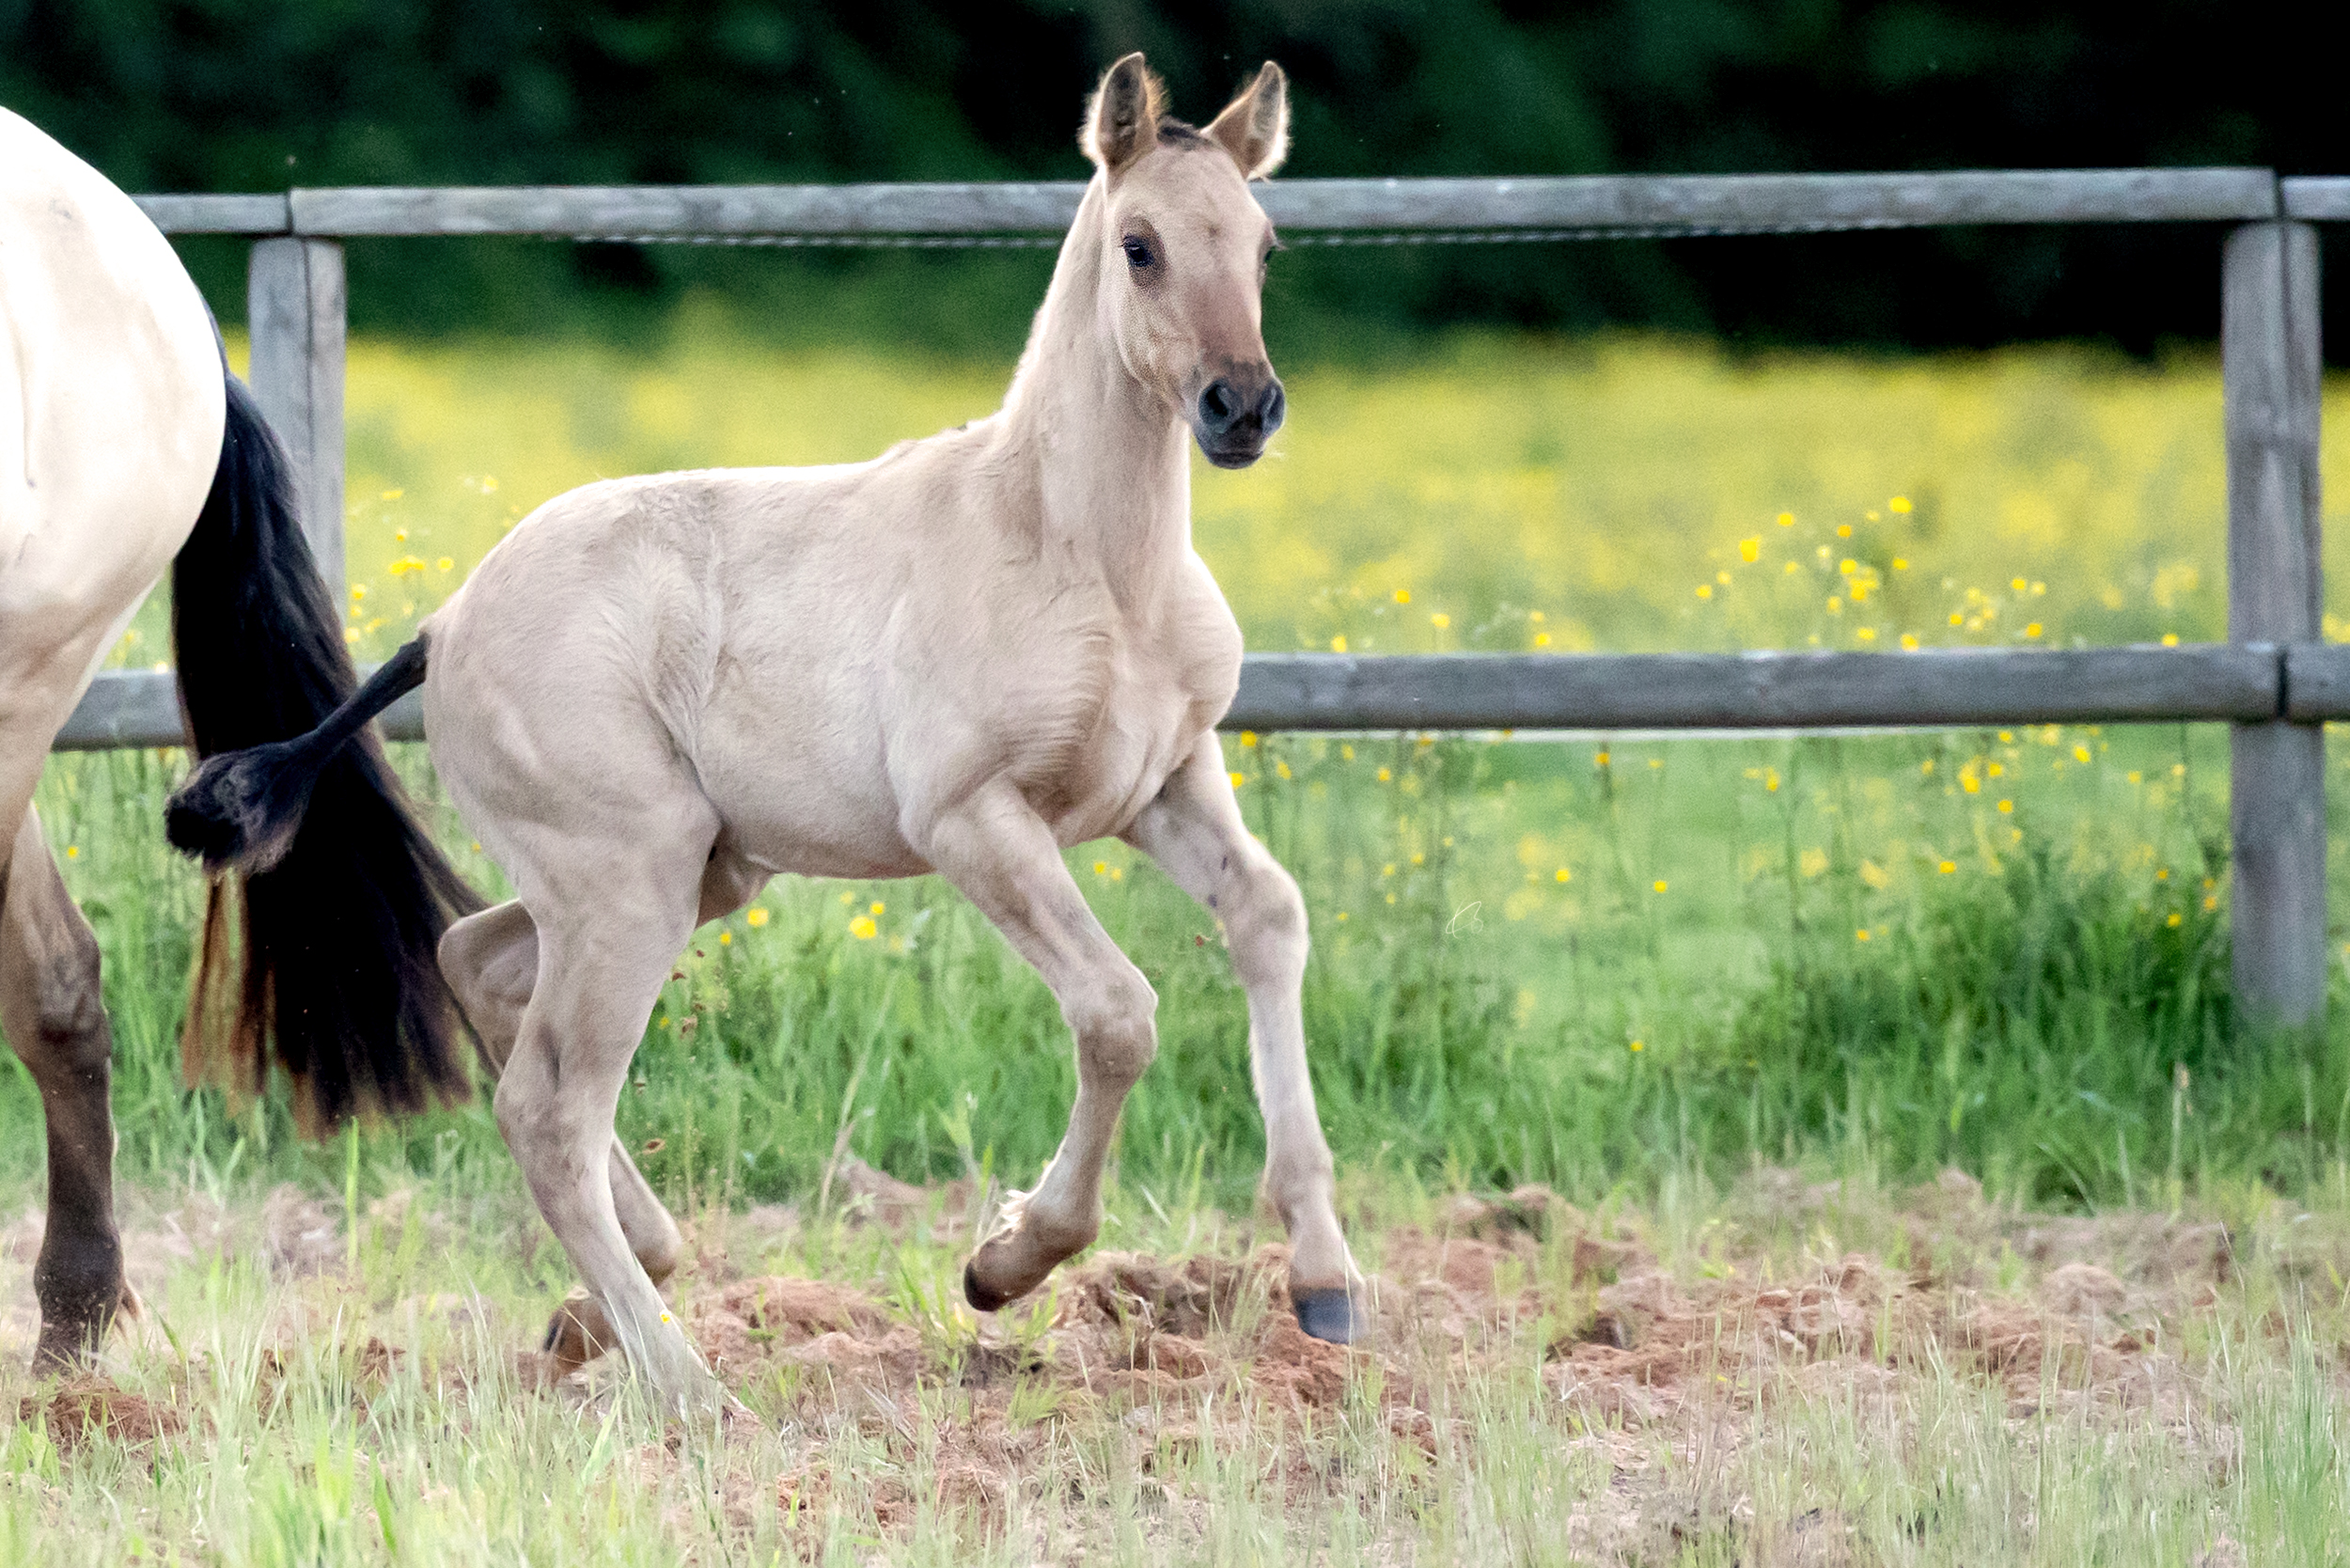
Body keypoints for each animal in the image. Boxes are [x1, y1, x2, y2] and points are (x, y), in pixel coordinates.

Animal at [174, 52, 1363, 1410]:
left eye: (1264, 246)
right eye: (1141, 245)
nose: (1242, 407)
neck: (1087, 563)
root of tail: (446, 619)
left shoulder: (1168, 781)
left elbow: (1269, 918)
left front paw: (1325, 1280)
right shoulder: (974, 822)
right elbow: (1119, 1012)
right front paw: (1002, 1264)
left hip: (698, 874)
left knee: (474, 960)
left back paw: (621, 1287)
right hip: (632, 886)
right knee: (546, 1109)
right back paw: (690, 1388)